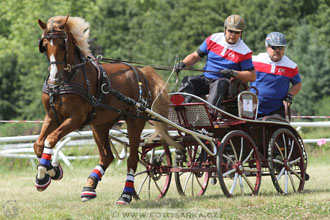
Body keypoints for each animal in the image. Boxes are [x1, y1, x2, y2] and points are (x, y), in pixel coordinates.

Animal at [34, 15, 180, 205]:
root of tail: (141, 72)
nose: (53, 79)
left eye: (62, 45)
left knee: (132, 159)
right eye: (44, 46)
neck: (69, 78)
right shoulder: (52, 116)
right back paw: (89, 187)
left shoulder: (75, 119)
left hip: (134, 120)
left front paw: (48, 172)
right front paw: (49, 173)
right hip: (100, 124)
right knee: (107, 156)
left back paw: (125, 195)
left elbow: (50, 139)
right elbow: (38, 144)